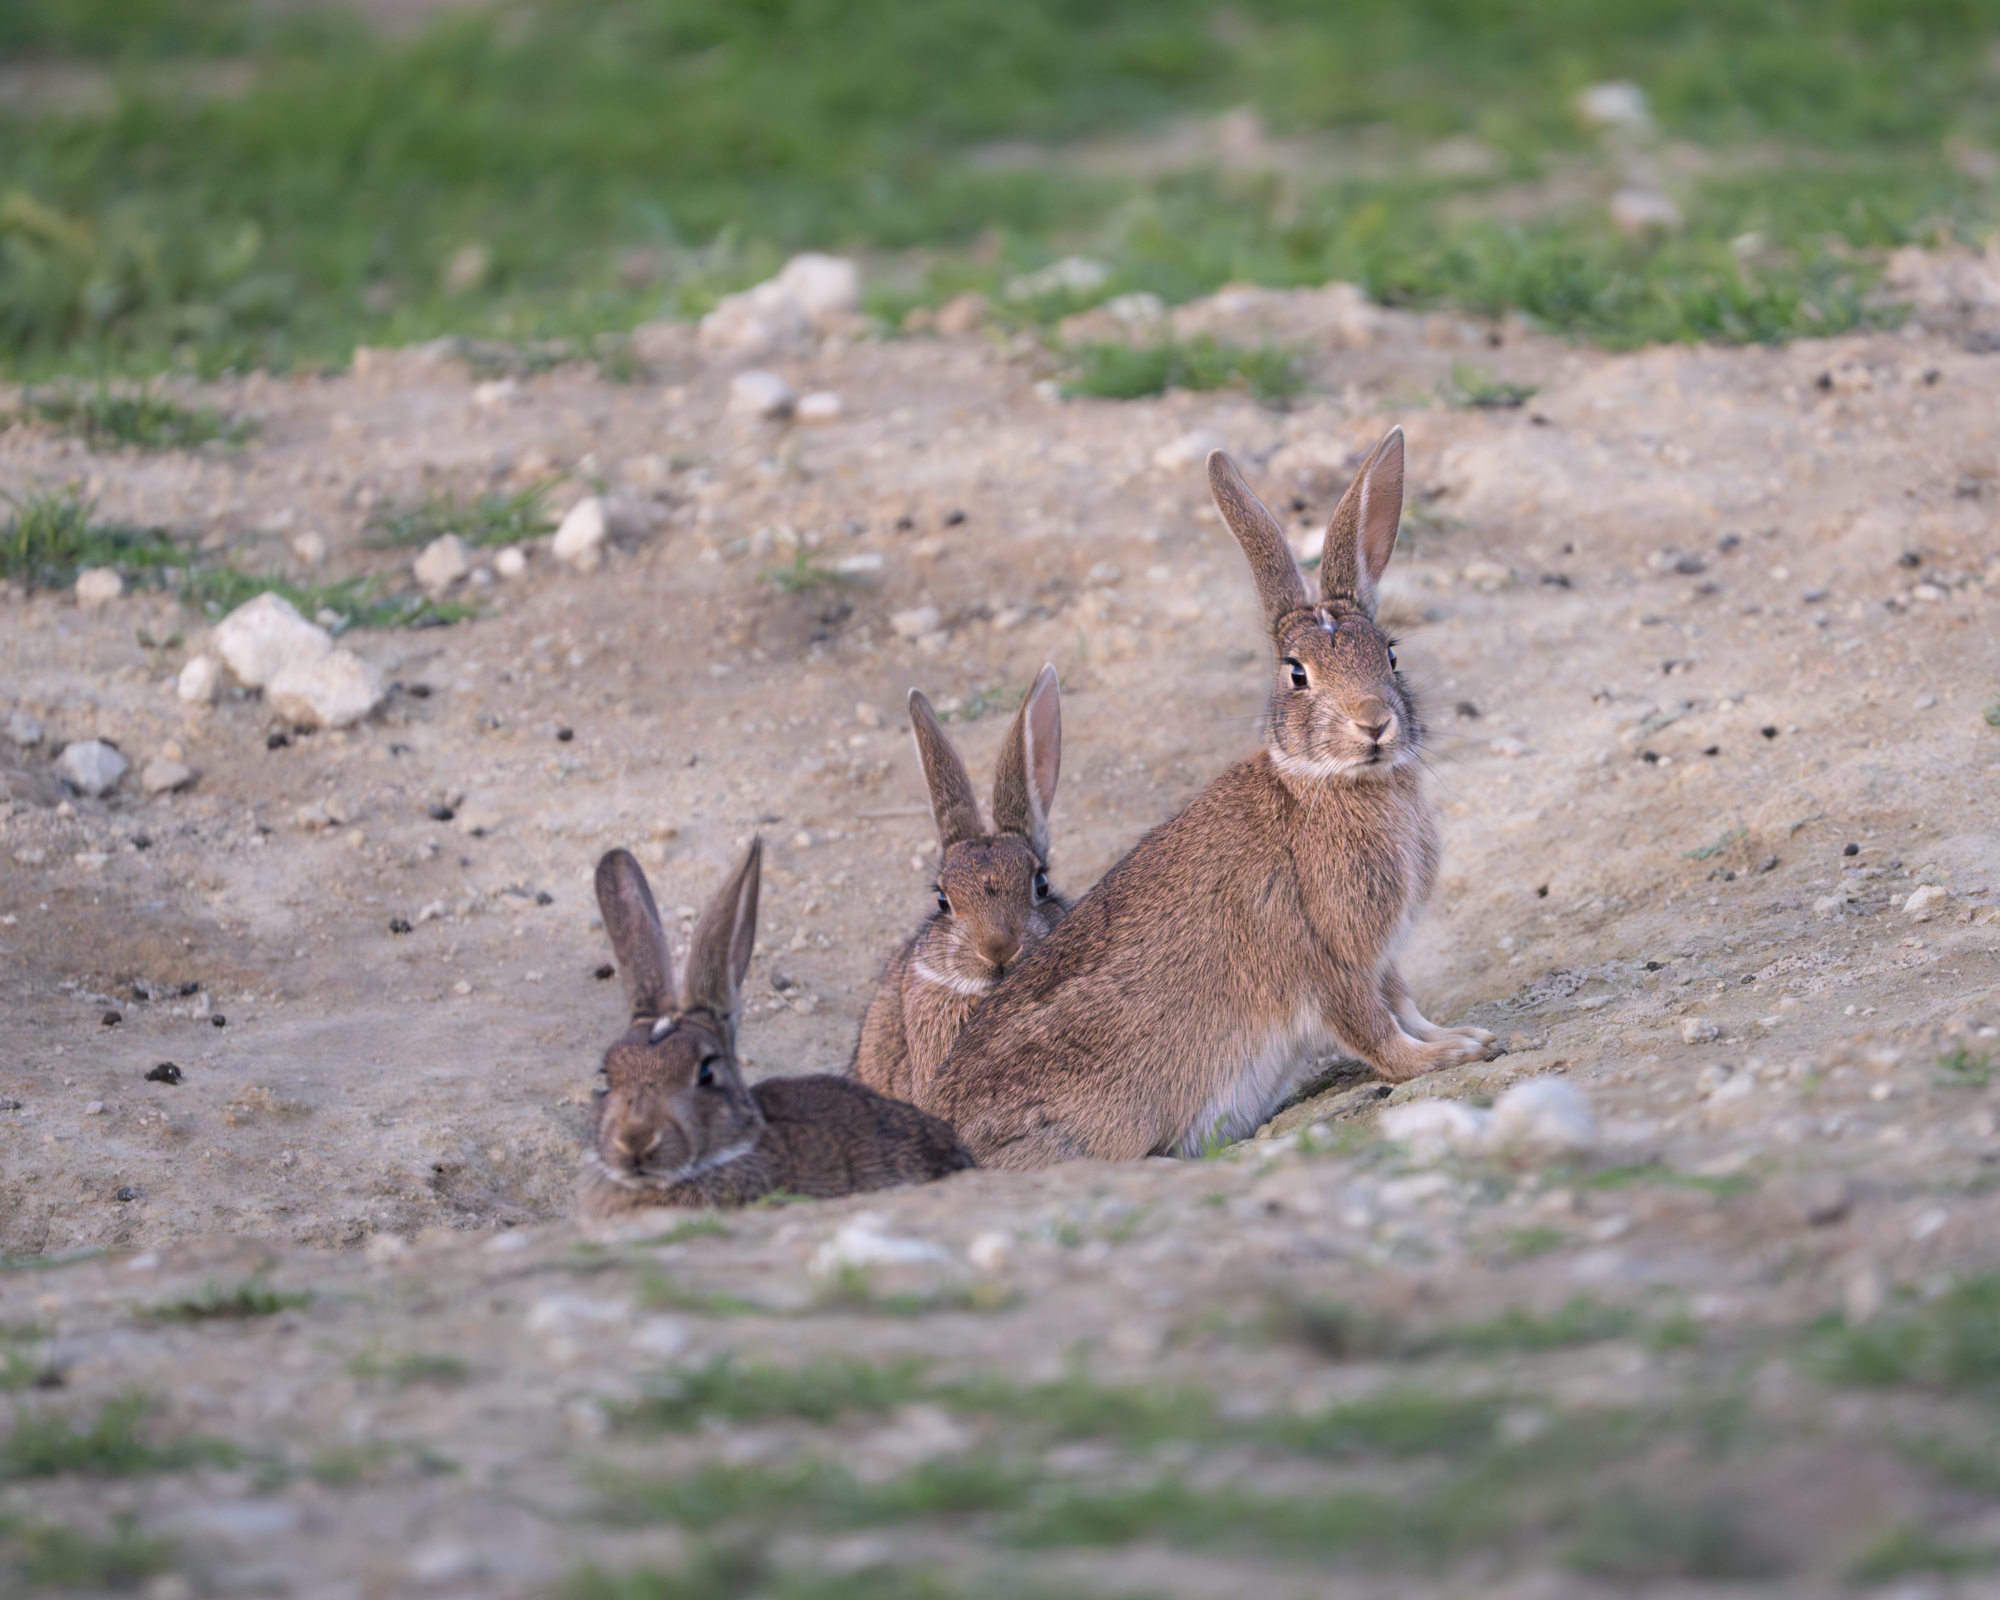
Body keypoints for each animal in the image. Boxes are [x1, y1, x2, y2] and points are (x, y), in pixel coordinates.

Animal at [922, 428, 1497, 1170]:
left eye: (1390, 653)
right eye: (1296, 673)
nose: (1374, 723)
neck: (1330, 785)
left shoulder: (1381, 954)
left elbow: (1406, 1003)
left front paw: (1461, 1037)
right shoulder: (1324, 954)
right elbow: (1374, 1027)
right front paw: (1444, 1058)